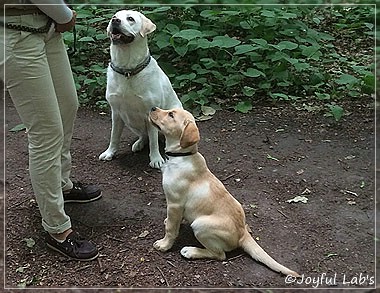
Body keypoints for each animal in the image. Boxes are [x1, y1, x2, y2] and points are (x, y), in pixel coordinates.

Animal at [97, 10, 182, 168]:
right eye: (114, 16)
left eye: (130, 19)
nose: (115, 21)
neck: (128, 70)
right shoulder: (116, 112)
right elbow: (114, 135)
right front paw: (110, 152)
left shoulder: (150, 112)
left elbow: (154, 141)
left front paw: (155, 159)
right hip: (129, 121)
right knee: (145, 136)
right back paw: (139, 143)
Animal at [148, 107, 300, 276]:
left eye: (171, 115)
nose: (152, 108)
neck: (182, 156)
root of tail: (242, 233)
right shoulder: (177, 208)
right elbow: (173, 222)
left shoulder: (174, 203)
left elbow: (170, 229)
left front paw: (164, 245)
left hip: (200, 225)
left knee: (220, 255)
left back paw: (191, 251)